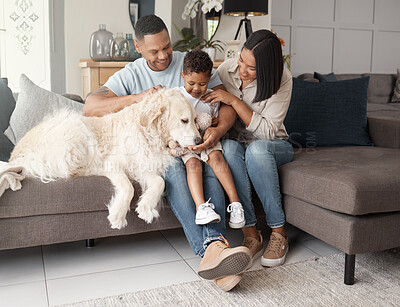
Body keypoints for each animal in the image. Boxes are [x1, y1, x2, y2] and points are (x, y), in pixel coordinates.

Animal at [6, 88, 200, 229]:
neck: (148, 133)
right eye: (184, 120)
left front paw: (146, 207)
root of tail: (15, 157)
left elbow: (160, 182)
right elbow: (128, 188)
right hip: (74, 127)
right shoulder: (113, 163)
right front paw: (118, 215)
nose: (199, 141)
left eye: (195, 120)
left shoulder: (143, 165)